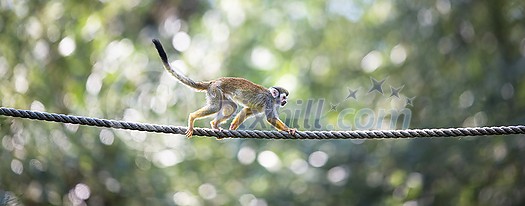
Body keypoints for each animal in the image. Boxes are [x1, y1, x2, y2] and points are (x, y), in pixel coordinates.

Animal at [154, 39, 296, 138]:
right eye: (284, 97)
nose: (285, 101)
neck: (273, 97)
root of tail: (212, 82)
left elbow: (247, 110)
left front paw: (233, 126)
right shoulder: (269, 101)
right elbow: (270, 118)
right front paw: (289, 129)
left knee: (232, 106)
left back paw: (215, 125)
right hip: (215, 91)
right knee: (216, 106)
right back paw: (192, 118)